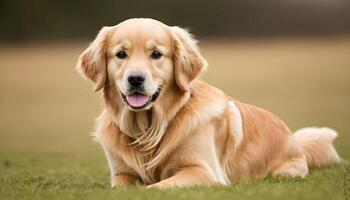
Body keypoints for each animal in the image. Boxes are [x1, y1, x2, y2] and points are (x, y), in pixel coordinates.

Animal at [76, 18, 342, 188]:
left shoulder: (202, 171)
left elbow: (154, 188)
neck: (150, 129)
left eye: (156, 54)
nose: (135, 79)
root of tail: (295, 140)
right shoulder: (121, 174)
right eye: (121, 54)